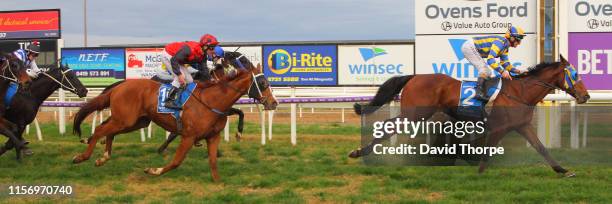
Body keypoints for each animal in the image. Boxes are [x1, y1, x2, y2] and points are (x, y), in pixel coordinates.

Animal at [71, 51, 278, 182]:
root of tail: (120, 85)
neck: (211, 100)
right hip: (125, 119)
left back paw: (103, 157)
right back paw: (83, 156)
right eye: (262, 82)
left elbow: (213, 162)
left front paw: (219, 181)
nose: (273, 103)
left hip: (135, 122)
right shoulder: (188, 136)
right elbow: (177, 161)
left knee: (109, 131)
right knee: (101, 128)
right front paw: (153, 170)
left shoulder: (213, 136)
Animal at [352, 55, 592, 177]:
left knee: (388, 126)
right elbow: (487, 151)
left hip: (415, 115)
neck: (520, 92)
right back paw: (359, 152)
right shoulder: (498, 128)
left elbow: (541, 147)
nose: (586, 95)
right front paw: (479, 172)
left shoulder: (522, 126)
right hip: (414, 114)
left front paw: (563, 170)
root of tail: (415, 76)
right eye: (575, 74)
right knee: (387, 125)